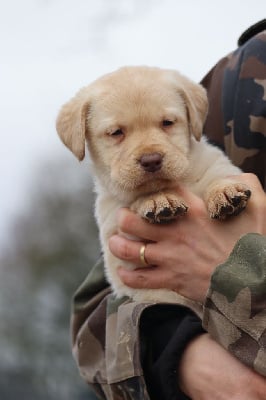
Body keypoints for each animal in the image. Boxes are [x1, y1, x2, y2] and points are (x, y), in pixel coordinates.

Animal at [55, 66, 249, 312]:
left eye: (167, 122)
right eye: (116, 132)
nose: (151, 160)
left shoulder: (217, 163)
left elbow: (217, 175)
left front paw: (224, 192)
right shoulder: (118, 245)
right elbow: (136, 199)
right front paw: (157, 200)